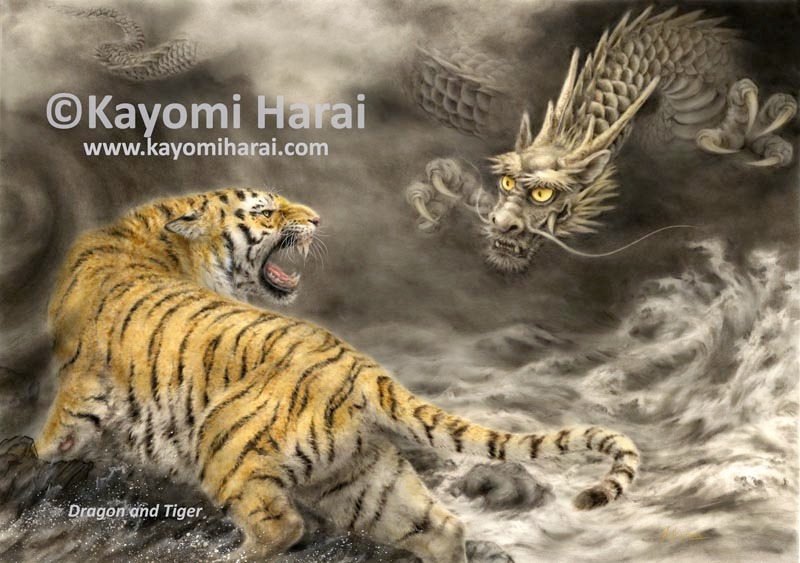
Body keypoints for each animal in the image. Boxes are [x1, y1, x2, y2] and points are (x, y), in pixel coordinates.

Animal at [37, 188, 640, 563]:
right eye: (266, 212)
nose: (318, 219)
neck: (153, 238)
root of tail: (360, 366)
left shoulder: (81, 385)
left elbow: (57, 431)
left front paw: (42, 454)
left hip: (224, 443)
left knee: (281, 527)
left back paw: (224, 556)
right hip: (364, 481)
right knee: (442, 526)